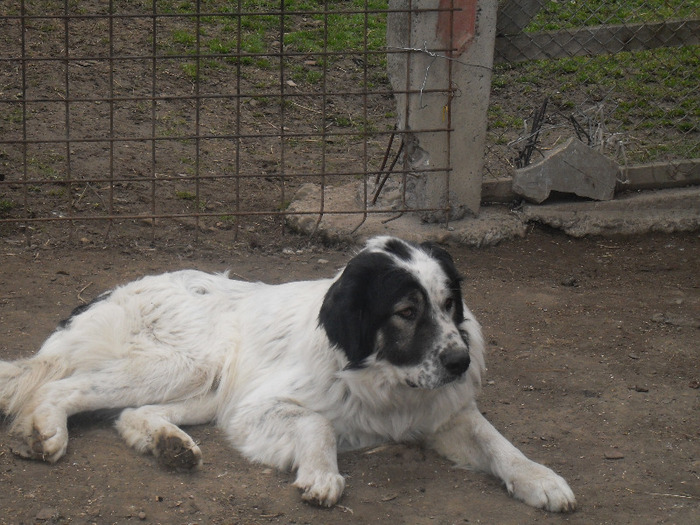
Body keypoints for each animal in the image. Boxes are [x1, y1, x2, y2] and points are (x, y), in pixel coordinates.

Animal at [0, 237, 576, 512]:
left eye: (449, 303)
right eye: (407, 312)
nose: (460, 362)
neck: (385, 382)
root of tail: (103, 296)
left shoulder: (448, 414)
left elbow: (502, 444)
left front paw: (542, 479)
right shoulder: (257, 409)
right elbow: (317, 424)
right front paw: (322, 473)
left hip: (207, 389)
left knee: (131, 414)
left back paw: (170, 444)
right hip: (184, 366)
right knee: (62, 385)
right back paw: (45, 432)